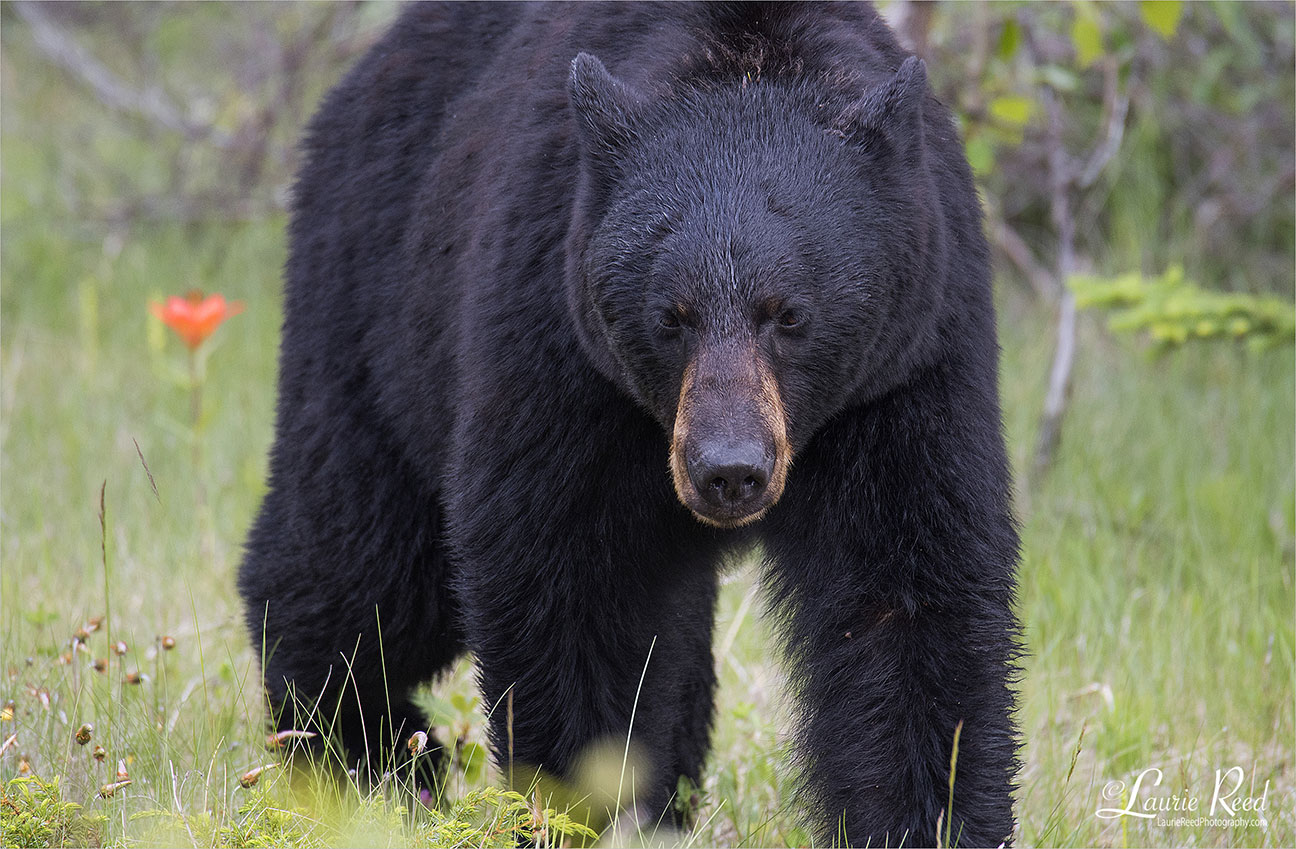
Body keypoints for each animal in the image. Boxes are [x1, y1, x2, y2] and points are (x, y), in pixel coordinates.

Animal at [238, 3, 1016, 845]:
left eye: (790, 315)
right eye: (670, 316)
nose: (728, 469)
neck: (747, 64)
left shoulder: (908, 362)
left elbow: (907, 588)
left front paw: (927, 817)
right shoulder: (558, 339)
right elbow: (572, 578)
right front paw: (584, 801)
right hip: (374, 302)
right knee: (363, 554)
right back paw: (362, 749)